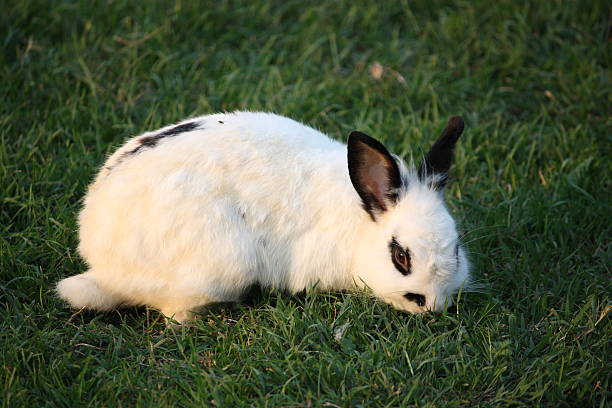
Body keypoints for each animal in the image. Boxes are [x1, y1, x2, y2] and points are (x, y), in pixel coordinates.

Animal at [56, 111, 468, 322]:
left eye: (457, 249)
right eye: (400, 257)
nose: (432, 306)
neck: (358, 220)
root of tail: (102, 265)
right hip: (222, 263)